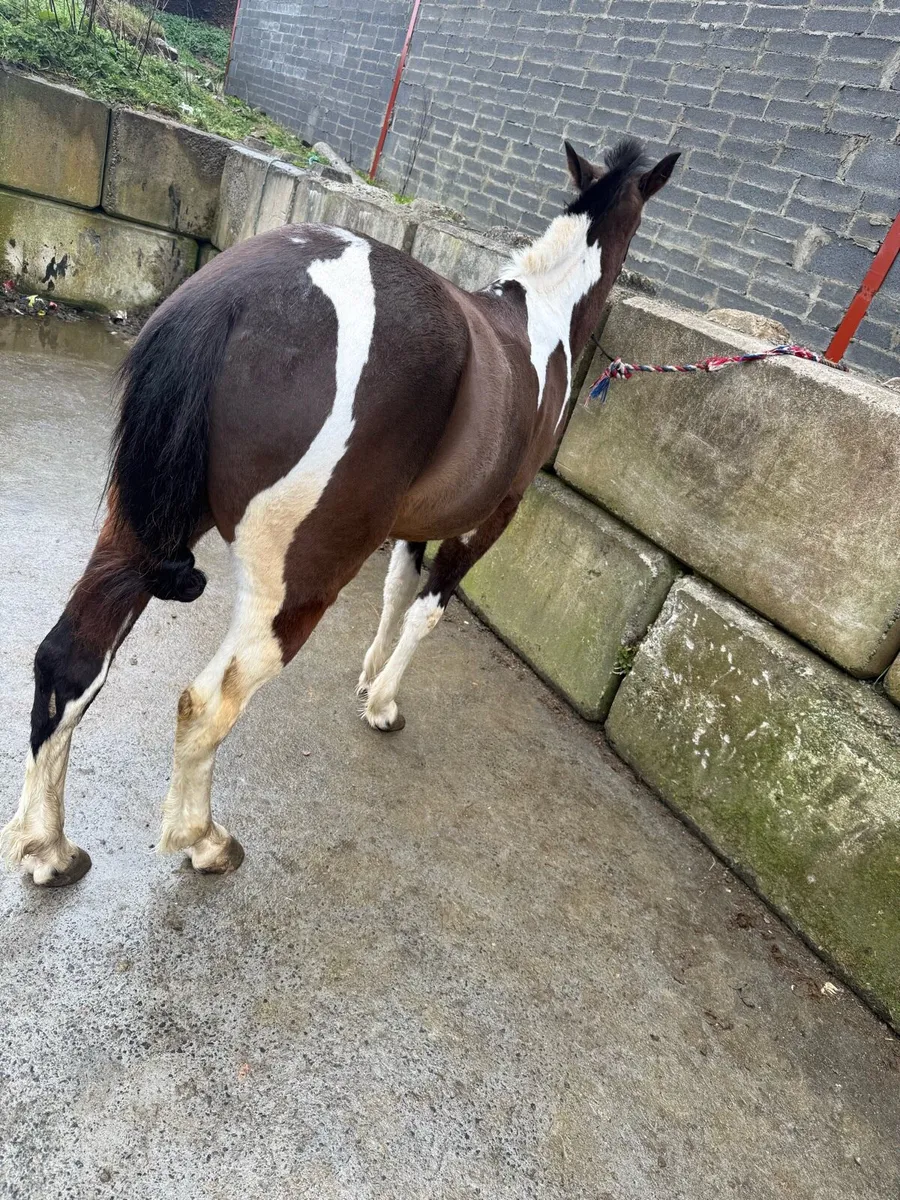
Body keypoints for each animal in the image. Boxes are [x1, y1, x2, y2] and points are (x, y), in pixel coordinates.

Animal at [1, 136, 678, 887]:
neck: (539, 321)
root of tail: (231, 299)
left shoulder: (415, 524)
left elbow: (396, 590)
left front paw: (368, 676)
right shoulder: (487, 520)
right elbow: (426, 610)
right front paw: (382, 702)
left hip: (138, 531)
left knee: (70, 660)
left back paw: (48, 849)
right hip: (294, 589)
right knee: (207, 705)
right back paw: (204, 839)